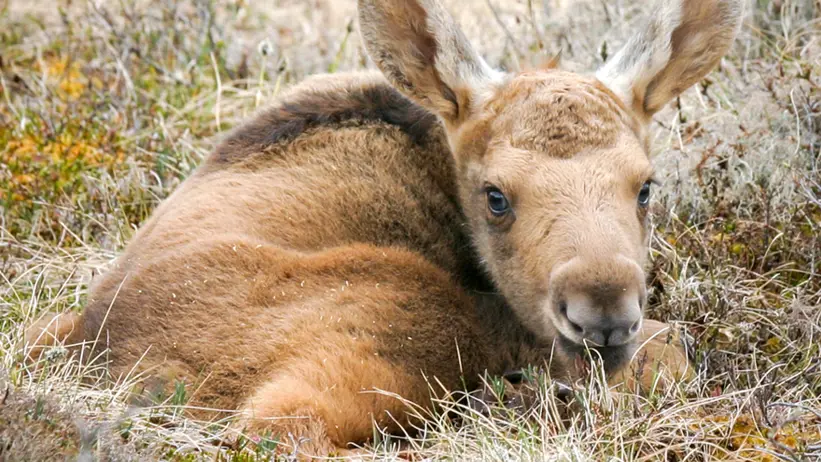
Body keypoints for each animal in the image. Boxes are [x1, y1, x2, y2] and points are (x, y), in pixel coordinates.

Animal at [25, 0, 742, 457]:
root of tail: (98, 347)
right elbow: (670, 351)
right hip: (399, 319)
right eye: (496, 197)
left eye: (645, 187)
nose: (602, 313)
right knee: (279, 429)